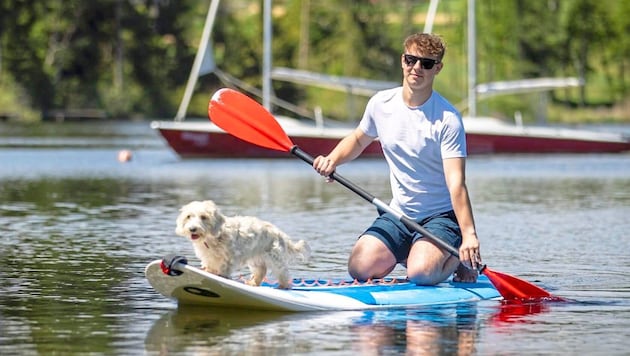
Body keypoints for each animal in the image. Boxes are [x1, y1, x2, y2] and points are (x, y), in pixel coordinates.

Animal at [175, 200, 312, 290]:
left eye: (203, 217)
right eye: (188, 216)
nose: (192, 229)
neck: (213, 238)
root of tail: (281, 234)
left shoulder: (229, 257)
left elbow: (224, 269)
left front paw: (221, 276)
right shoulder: (208, 258)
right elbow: (210, 267)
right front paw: (209, 272)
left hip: (275, 259)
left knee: (283, 273)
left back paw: (283, 286)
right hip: (256, 259)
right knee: (261, 271)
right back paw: (253, 283)